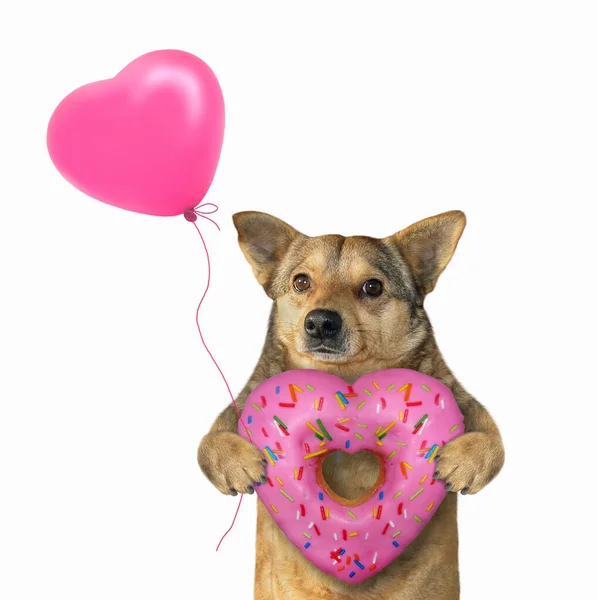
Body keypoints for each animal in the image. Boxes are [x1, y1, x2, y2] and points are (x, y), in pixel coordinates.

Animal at [199, 209, 502, 596]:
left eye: (372, 287)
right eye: (301, 282)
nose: (320, 322)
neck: (346, 381)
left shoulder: (464, 402)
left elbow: (492, 437)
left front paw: (466, 461)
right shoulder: (236, 408)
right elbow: (209, 442)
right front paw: (235, 463)